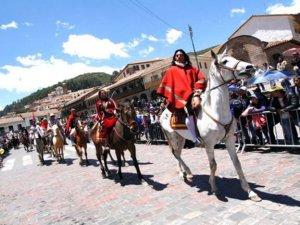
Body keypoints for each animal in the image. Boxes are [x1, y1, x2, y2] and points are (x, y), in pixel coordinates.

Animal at [161, 50, 262, 201]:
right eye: (224, 61)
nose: (250, 67)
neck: (217, 110)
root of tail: (163, 113)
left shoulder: (229, 139)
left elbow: (237, 163)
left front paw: (250, 191)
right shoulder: (209, 144)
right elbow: (213, 165)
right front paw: (214, 188)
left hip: (181, 137)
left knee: (178, 153)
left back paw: (184, 172)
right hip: (172, 136)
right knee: (175, 153)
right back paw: (187, 172)